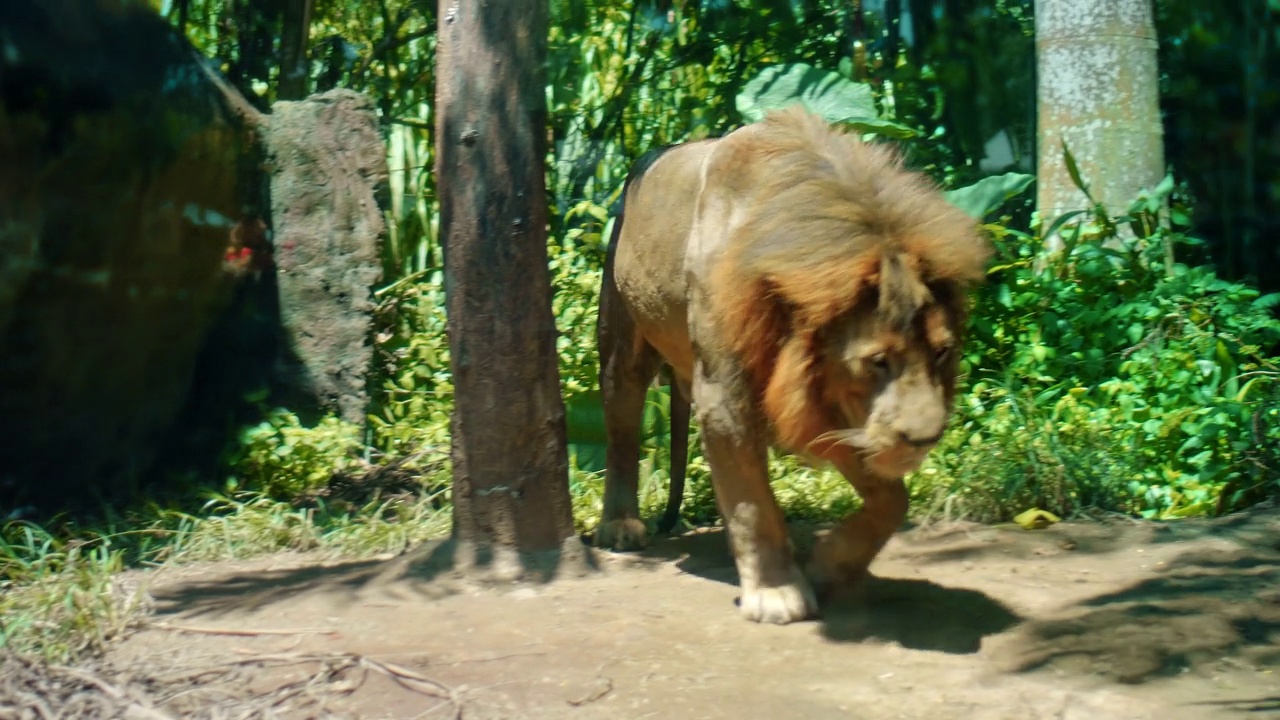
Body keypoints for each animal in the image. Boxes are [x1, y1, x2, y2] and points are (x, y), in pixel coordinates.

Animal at [593, 103, 993, 620]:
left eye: (942, 352)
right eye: (878, 361)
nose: (924, 439)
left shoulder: (837, 408)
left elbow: (891, 500)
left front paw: (828, 566)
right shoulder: (724, 395)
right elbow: (752, 505)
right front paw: (776, 592)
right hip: (623, 334)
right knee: (621, 426)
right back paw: (620, 526)